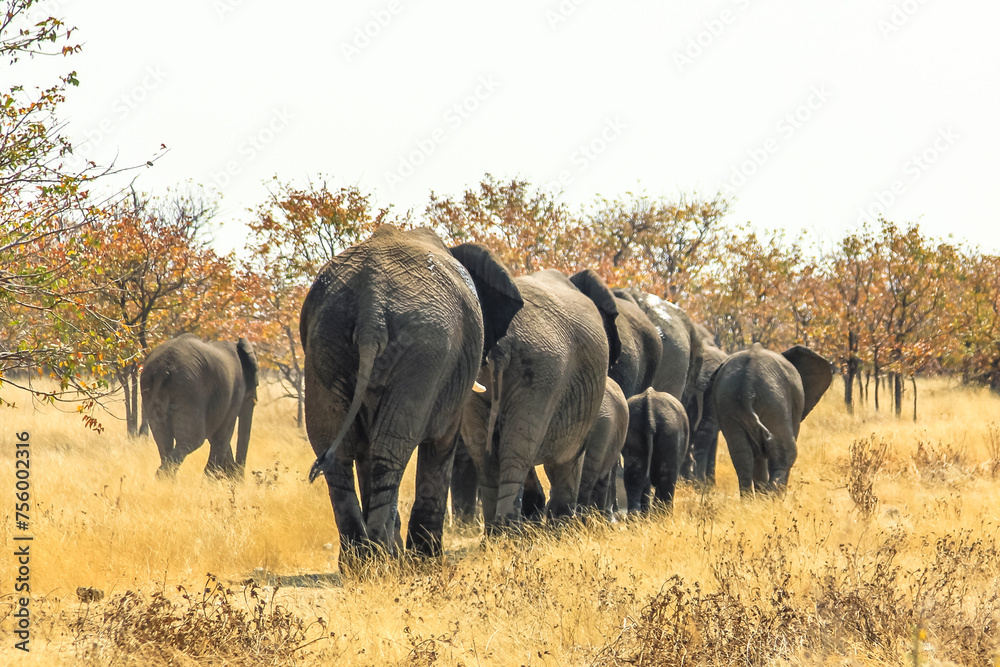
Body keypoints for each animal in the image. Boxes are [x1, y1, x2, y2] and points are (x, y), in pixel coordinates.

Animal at [140, 334, 259, 479]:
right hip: (190, 388)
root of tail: (163, 367)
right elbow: (222, 434)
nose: (238, 479)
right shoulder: (236, 392)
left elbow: (214, 433)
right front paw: (211, 479)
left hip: (152, 387)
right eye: (256, 384)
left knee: (163, 439)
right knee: (192, 440)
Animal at [300, 225, 523, 560]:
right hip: (426, 351)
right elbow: (441, 443)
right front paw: (427, 560)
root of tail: (371, 306)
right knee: (389, 450)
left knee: (336, 451)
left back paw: (361, 561)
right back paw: (384, 557)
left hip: (325, 340)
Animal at [460, 268, 619, 529]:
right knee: (517, 454)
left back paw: (496, 533)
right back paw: (510, 530)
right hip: (545, 370)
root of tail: (501, 345)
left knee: (487, 455)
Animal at [710, 343, 833, 496]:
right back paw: (772, 496)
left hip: (729, 402)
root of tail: (747, 389)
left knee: (742, 457)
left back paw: (752, 498)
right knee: (786, 453)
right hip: (775, 402)